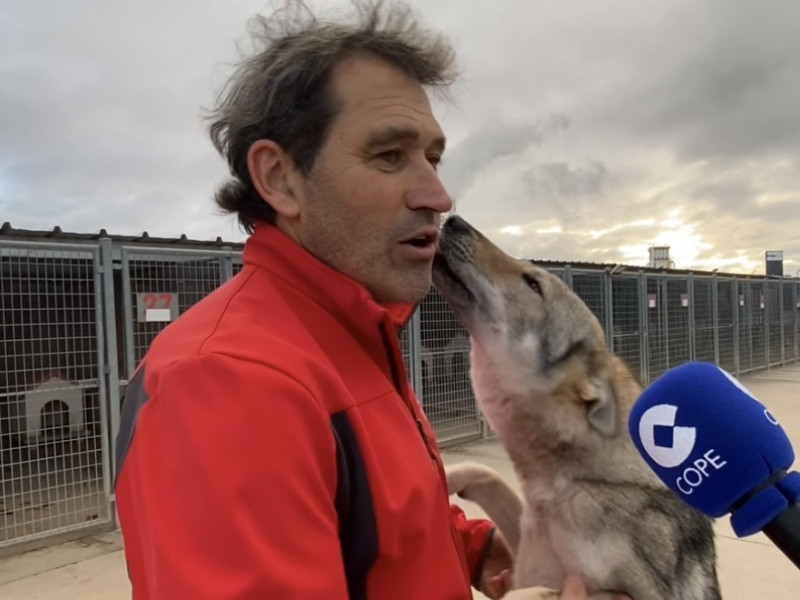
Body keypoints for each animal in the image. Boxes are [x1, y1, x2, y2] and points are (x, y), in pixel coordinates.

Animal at [434, 216, 720, 600]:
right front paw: (445, 476)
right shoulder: (524, 549)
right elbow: (485, 471)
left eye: (533, 284)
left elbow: (530, 594)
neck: (563, 485)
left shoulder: (627, 593)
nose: (454, 219)